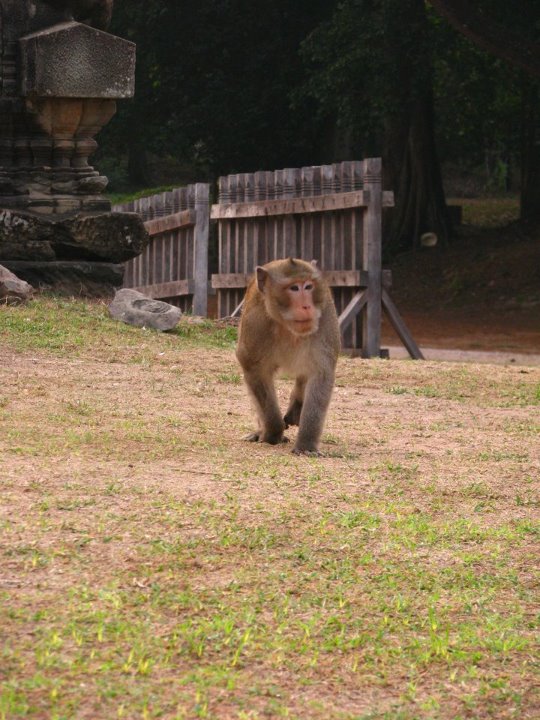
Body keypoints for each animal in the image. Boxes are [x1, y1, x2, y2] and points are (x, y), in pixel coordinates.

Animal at [237, 258, 340, 456]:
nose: (306, 306)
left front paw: (306, 445)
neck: (287, 327)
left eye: (308, 286)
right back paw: (261, 430)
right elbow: (254, 370)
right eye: (294, 288)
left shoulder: (324, 320)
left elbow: (321, 374)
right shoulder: (255, 323)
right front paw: (272, 432)